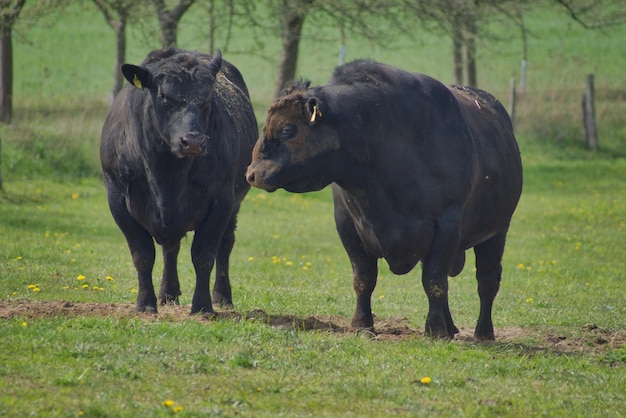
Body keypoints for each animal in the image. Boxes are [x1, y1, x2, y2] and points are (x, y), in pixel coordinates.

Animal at [100, 49, 256, 316]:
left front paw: (202, 306)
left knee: (225, 245)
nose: (192, 141)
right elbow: (142, 254)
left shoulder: (221, 200)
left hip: (234, 205)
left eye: (207, 97)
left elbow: (204, 254)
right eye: (163, 96)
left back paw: (222, 297)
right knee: (170, 249)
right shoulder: (117, 197)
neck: (166, 173)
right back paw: (167, 294)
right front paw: (145, 304)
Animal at [246, 59, 524, 340]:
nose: (252, 173)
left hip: (498, 229)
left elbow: (434, 281)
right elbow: (364, 278)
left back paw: (483, 332)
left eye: (287, 130)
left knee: (487, 281)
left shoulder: (447, 224)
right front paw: (362, 324)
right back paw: (451, 326)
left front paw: (434, 330)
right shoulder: (347, 224)